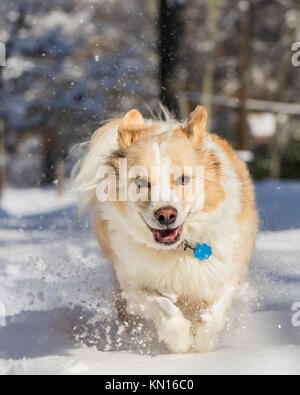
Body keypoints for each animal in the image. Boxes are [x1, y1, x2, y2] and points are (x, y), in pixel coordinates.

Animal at [73, 106, 258, 354]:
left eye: (182, 178)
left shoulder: (228, 271)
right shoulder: (132, 281)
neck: (177, 251)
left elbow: (216, 310)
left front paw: (203, 342)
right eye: (141, 182)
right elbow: (162, 306)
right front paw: (180, 339)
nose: (166, 215)